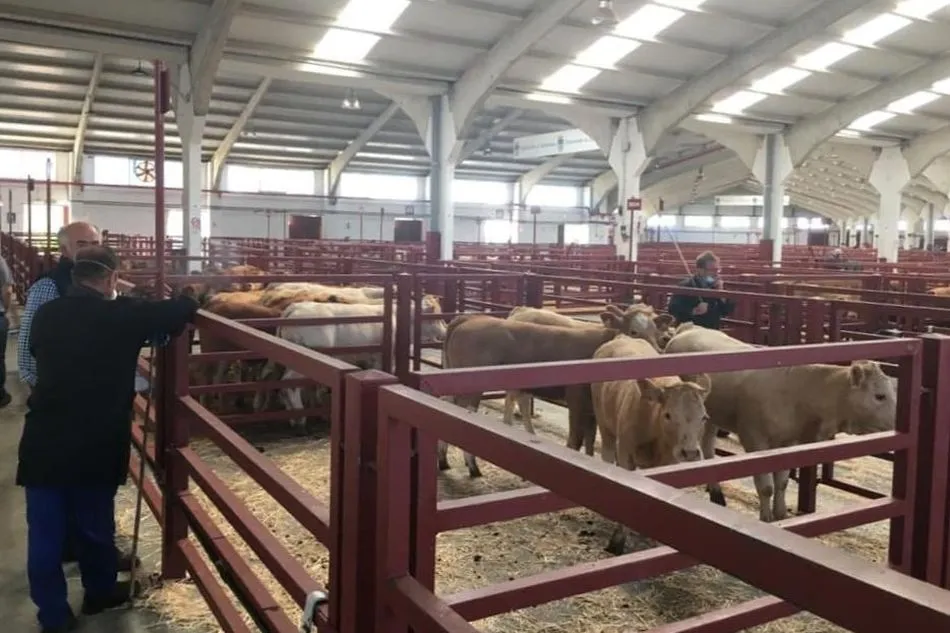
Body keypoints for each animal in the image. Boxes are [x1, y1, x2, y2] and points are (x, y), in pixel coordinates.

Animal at [439, 307, 658, 478]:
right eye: (634, 331)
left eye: (658, 333)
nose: (655, 354)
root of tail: (468, 319)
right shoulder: (576, 400)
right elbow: (575, 440)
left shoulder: (593, 408)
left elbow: (589, 440)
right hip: (471, 388)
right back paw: (473, 466)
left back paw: (443, 461)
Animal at [591, 334, 711, 554]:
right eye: (668, 415)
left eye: (704, 417)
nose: (690, 452)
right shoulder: (626, 453)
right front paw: (618, 541)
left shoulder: (670, 461)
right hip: (605, 427)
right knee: (607, 454)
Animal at [664, 323, 896, 522]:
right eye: (880, 396)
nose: (896, 422)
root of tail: (688, 328)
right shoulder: (754, 440)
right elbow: (766, 486)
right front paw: (766, 517)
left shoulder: (788, 442)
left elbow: (782, 481)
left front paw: (781, 513)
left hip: (711, 416)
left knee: (708, 448)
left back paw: (715, 493)